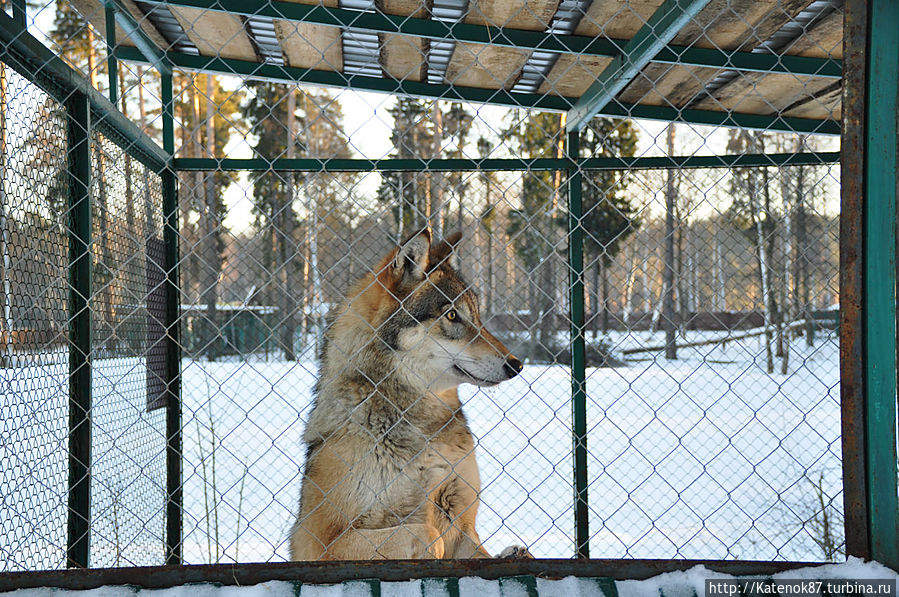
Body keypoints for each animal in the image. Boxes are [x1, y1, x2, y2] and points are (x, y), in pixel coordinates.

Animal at [288, 228, 528, 560]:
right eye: (452, 315)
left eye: (477, 317)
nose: (516, 365)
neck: (423, 428)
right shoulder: (321, 545)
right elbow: (427, 533)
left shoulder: (463, 527)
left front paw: (514, 553)